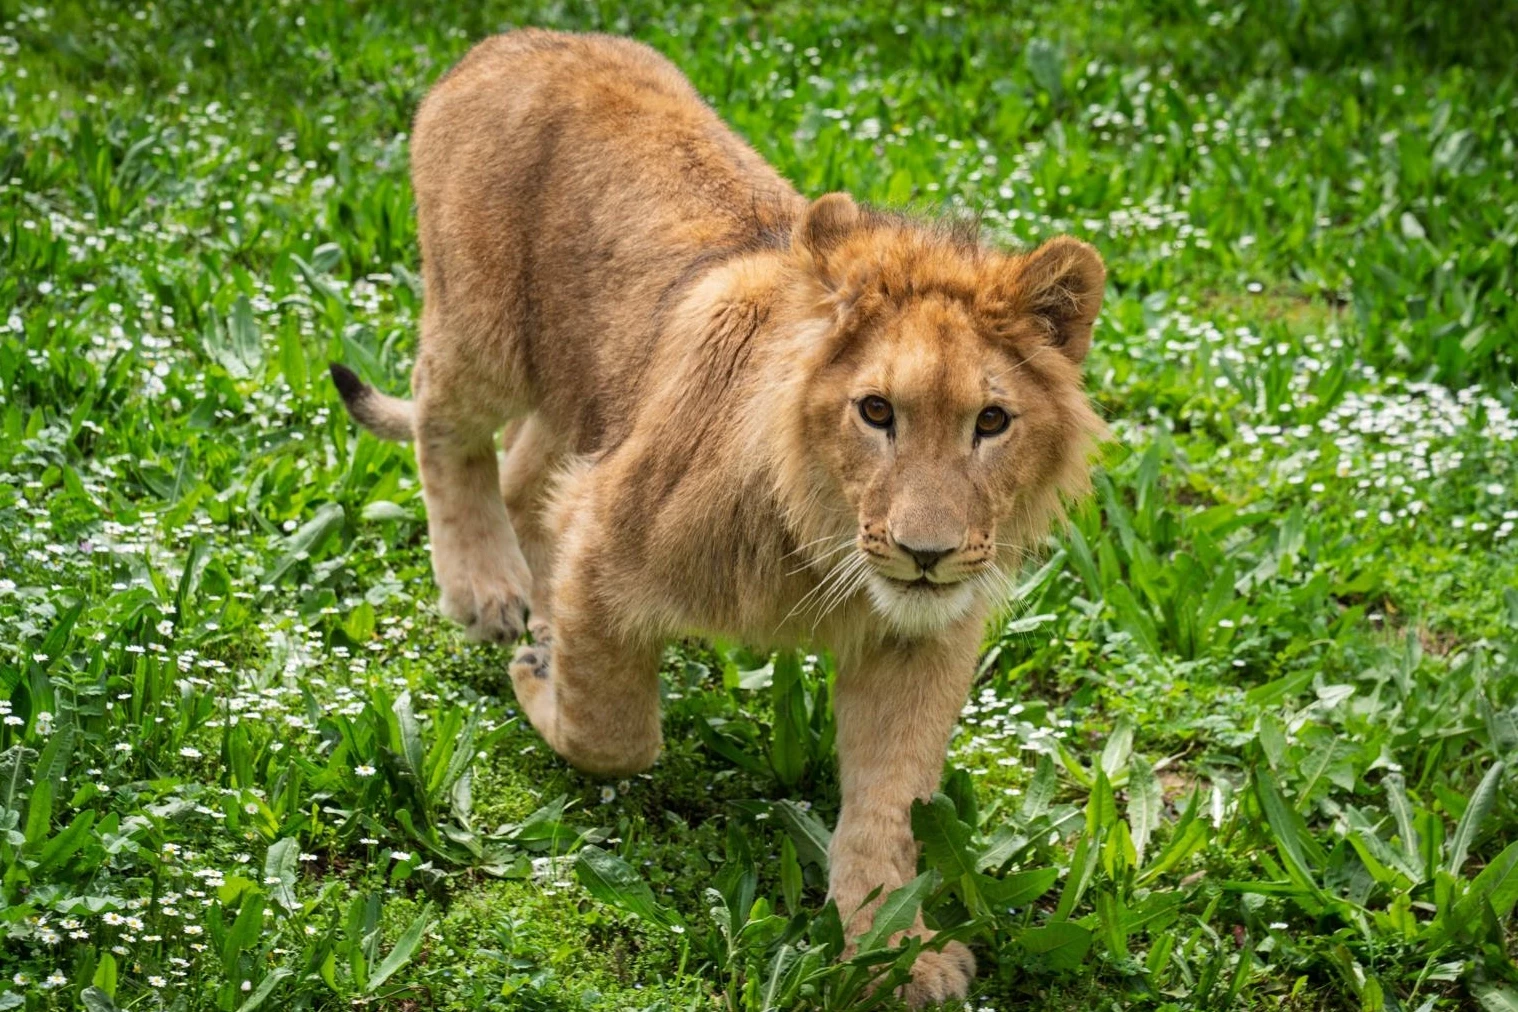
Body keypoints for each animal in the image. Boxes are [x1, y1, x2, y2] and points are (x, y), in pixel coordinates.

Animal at [335, 29, 1105, 1007]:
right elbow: (616, 734)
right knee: (444, 424)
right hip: (484, 331)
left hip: (585, 388)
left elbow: (889, 805)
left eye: (993, 422)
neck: (823, 547)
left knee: (525, 475)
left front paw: (894, 951)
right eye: (876, 411)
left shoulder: (918, 639)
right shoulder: (606, 531)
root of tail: (520, 38)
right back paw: (488, 590)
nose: (925, 554)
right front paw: (539, 682)